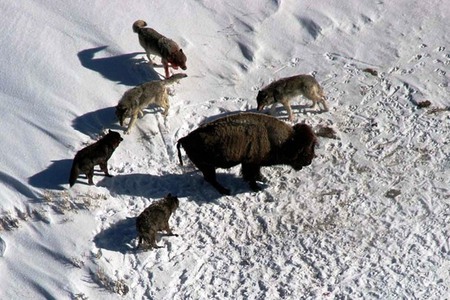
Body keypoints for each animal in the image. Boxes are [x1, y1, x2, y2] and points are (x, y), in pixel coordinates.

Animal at [176, 112, 316, 195]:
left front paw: (263, 179)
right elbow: (251, 176)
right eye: (303, 149)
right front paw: (256, 188)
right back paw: (225, 191)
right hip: (207, 166)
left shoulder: (254, 163)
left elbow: (257, 173)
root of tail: (185, 138)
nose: (309, 162)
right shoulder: (250, 163)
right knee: (211, 179)